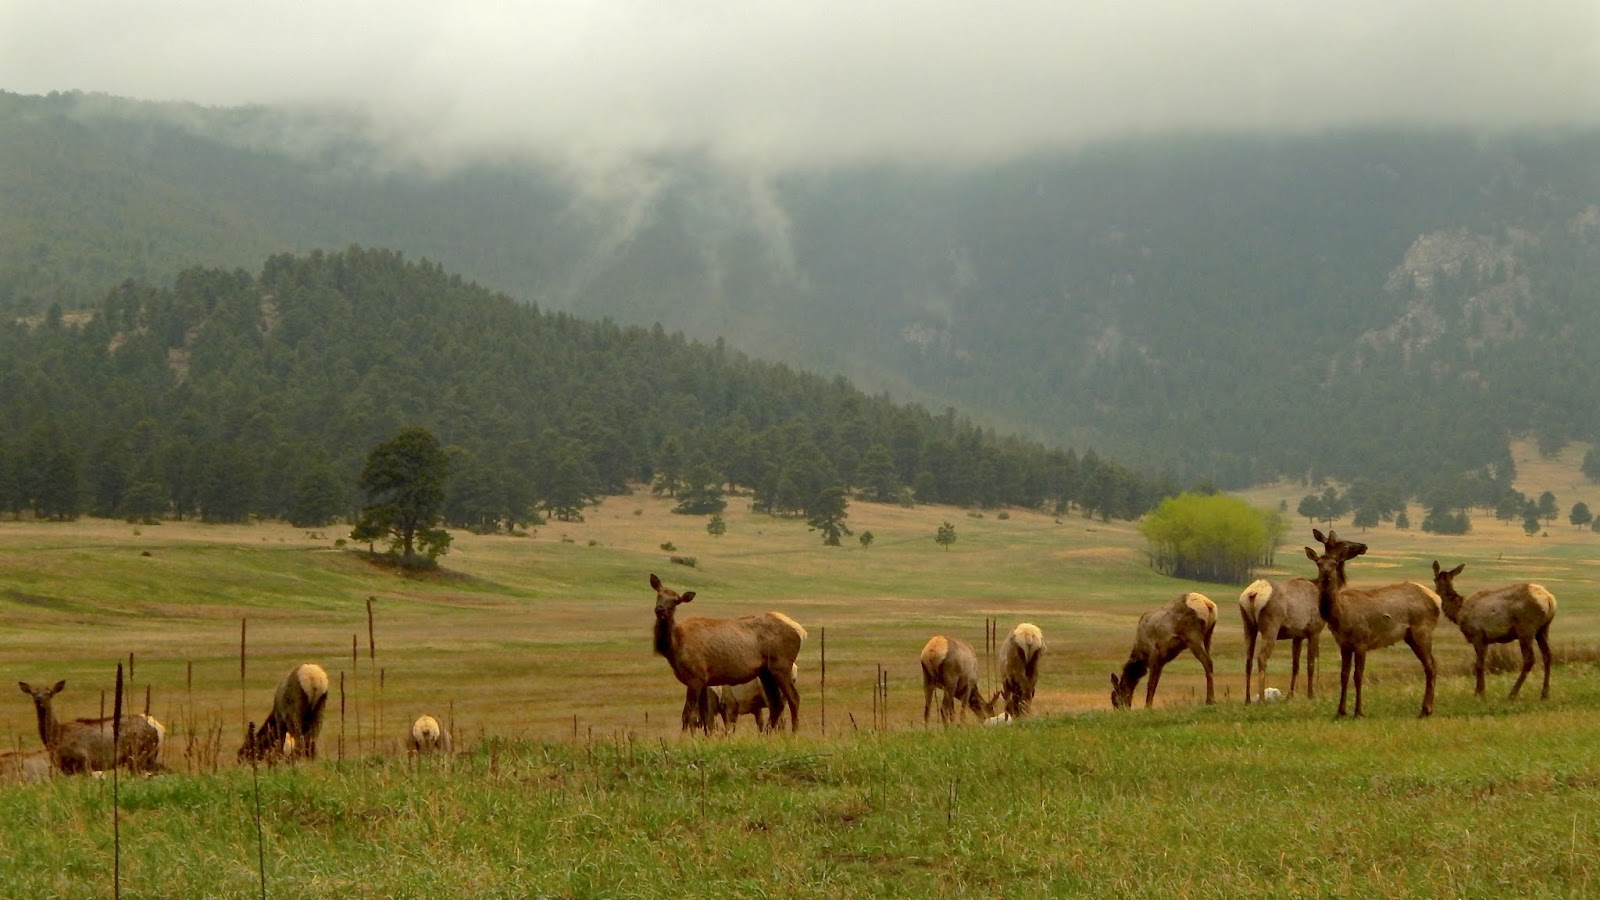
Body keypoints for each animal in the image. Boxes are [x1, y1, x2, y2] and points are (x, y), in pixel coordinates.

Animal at [18, 680, 165, 775]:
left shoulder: (84, 761)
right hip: (147, 756)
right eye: (33, 693)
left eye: (49, 693)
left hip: (138, 753)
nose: (39, 699)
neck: (56, 737)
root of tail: (158, 728)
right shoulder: (64, 768)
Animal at [650, 574, 807, 734]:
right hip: (766, 672)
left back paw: (794, 733)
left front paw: (683, 738)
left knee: (794, 698)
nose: (660, 609)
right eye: (659, 594)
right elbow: (706, 717)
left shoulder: (695, 677)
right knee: (776, 704)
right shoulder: (704, 681)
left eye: (676, 601)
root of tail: (800, 631)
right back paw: (766, 735)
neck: (673, 648)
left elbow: (687, 714)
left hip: (781, 666)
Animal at [1304, 532, 1441, 718]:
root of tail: (1437, 600)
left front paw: (1359, 712)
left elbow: (1358, 675)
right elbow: (1344, 675)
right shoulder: (1344, 644)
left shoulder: (1362, 641)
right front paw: (1340, 711)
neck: (1340, 615)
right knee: (1431, 664)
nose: (1326, 574)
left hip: (1422, 631)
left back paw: (1425, 710)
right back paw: (1427, 709)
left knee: (1431, 665)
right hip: (1411, 636)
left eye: (1334, 563)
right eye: (1319, 563)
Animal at [1431, 561, 1557, 701]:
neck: (1458, 613)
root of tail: (1550, 600)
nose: (1435, 595)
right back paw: (1544, 694)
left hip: (1526, 628)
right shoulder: (1485, 640)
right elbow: (1482, 663)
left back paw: (1512, 694)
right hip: (1543, 629)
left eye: (1434, 579)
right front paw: (1481, 691)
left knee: (1529, 659)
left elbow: (1478, 665)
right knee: (1548, 656)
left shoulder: (1477, 634)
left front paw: (1479, 693)